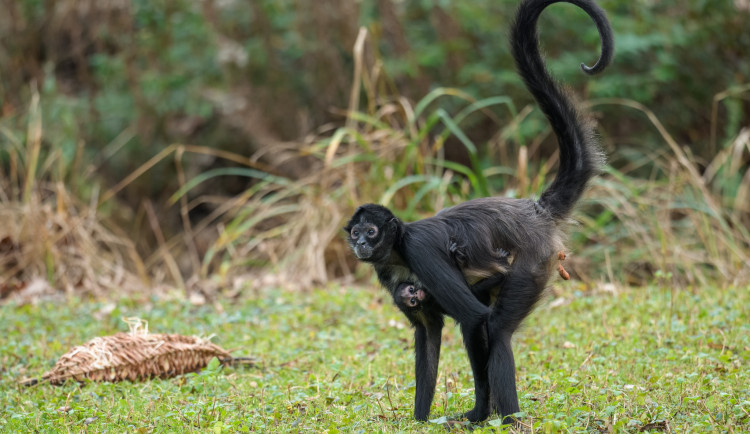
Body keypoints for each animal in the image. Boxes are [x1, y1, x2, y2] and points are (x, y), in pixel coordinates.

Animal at [346, 0, 616, 424]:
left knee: (498, 328)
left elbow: (474, 320)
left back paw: (509, 419)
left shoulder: (420, 250)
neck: (398, 249)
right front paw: (420, 420)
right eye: (356, 233)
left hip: (533, 261)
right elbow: (428, 335)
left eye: (370, 232)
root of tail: (532, 211)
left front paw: (477, 413)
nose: (360, 243)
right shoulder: (389, 276)